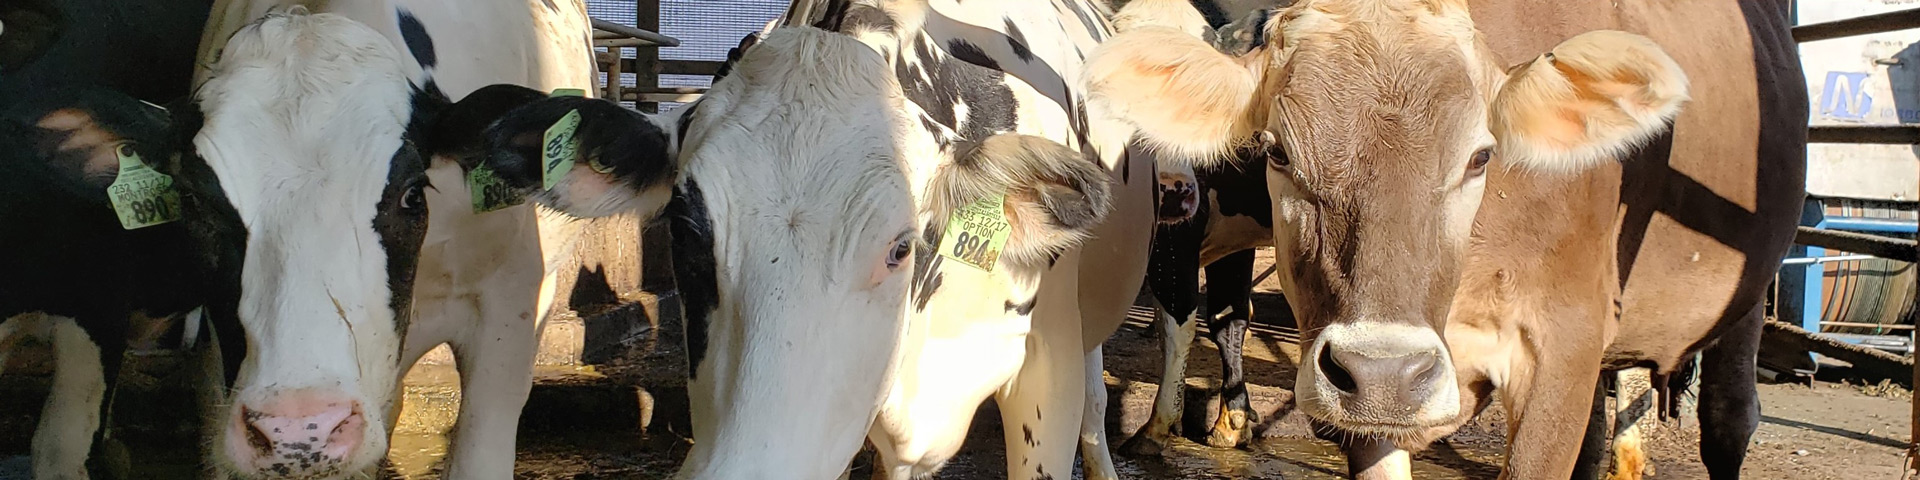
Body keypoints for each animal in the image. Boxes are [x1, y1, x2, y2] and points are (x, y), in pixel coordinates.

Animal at [1090, 0, 1804, 480]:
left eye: (1481, 156)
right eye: (1277, 151)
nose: (1384, 371)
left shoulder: (1563, 345)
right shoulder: (1370, 395)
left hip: (1744, 299)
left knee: (1729, 418)